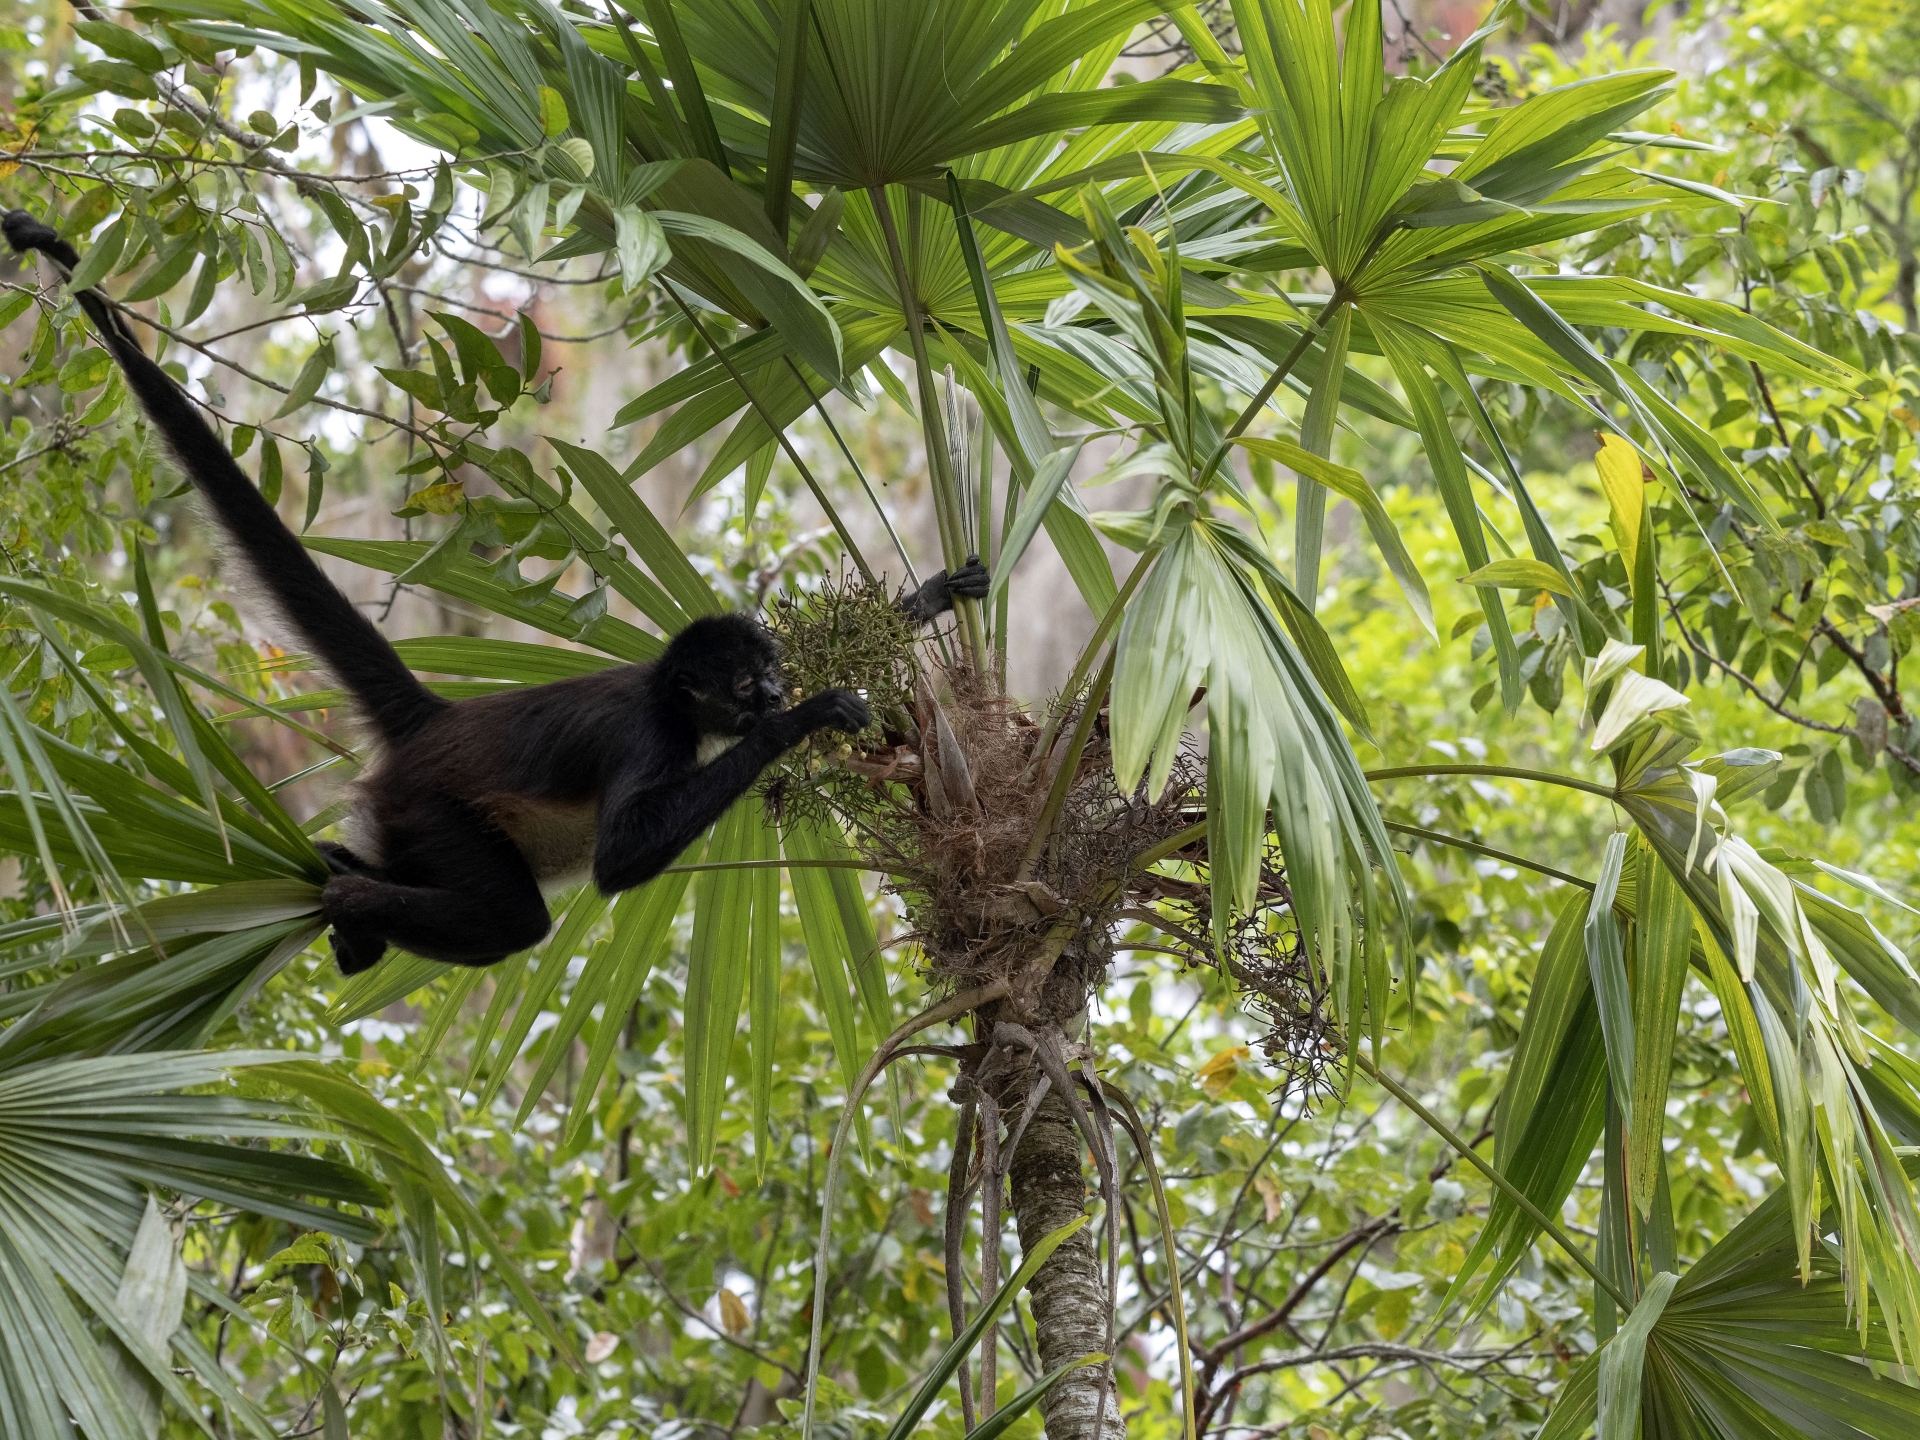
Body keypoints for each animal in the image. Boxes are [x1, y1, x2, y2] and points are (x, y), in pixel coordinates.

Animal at [4, 210, 989, 975]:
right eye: (749, 684)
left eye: (772, 666)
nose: (777, 692)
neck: (669, 695)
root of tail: (433, 719)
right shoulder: (650, 733)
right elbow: (619, 861)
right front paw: (809, 719)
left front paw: (933, 594)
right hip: (429, 808)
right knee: (513, 918)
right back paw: (348, 897)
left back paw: (346, 900)